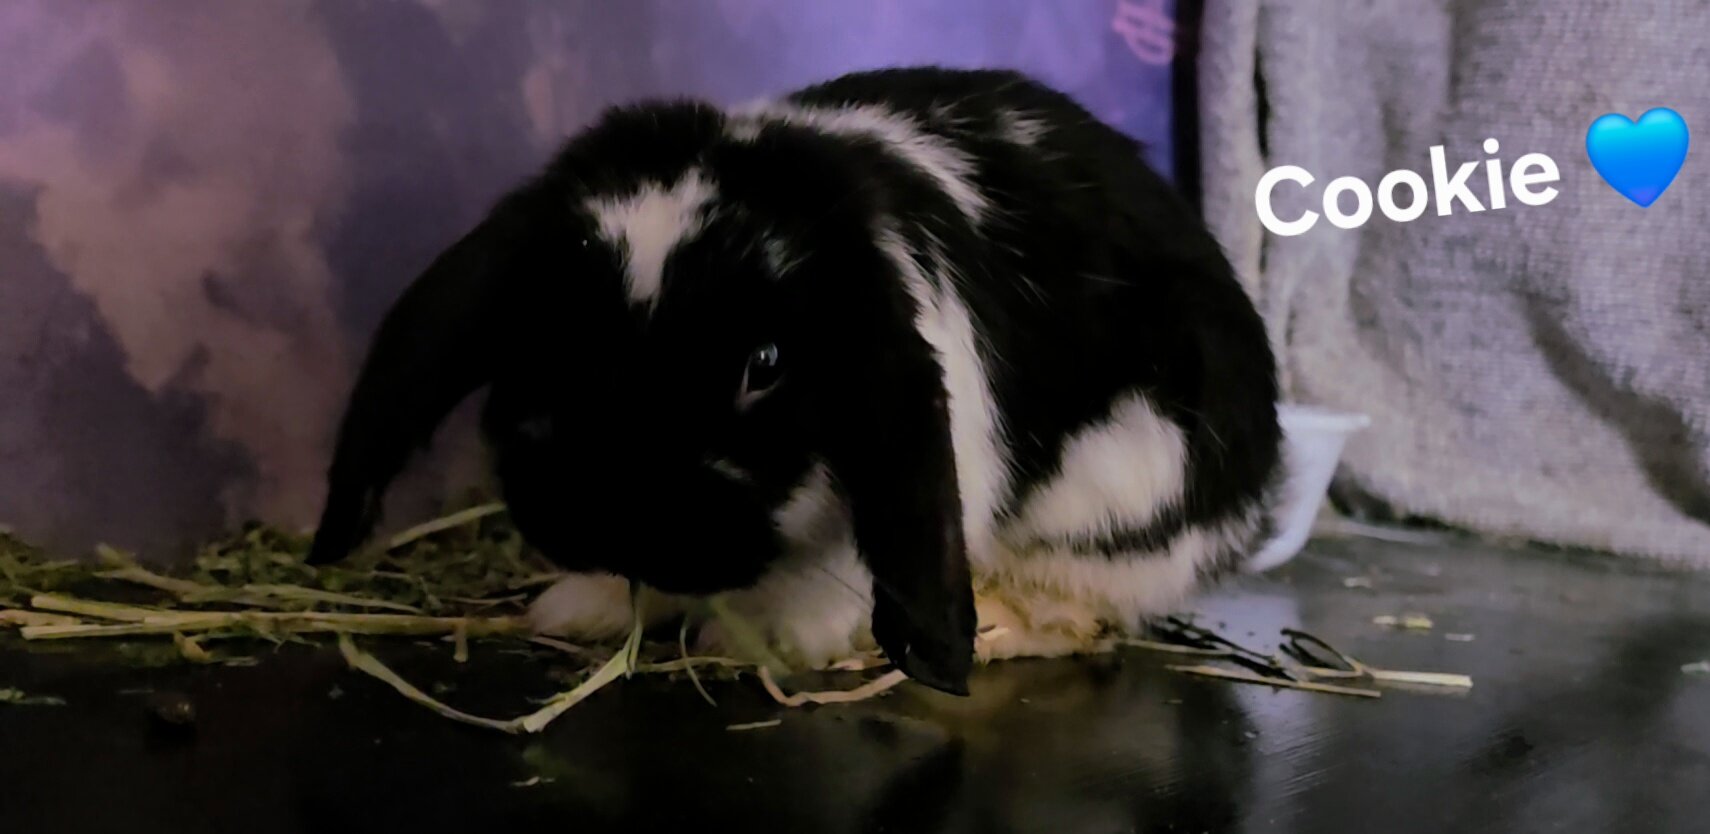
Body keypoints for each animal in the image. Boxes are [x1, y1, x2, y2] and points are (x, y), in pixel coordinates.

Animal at [304, 66, 1283, 696]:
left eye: (765, 364)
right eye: (548, 328)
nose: (616, 514)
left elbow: (838, 573)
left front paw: (766, 644)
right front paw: (579, 608)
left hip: (1121, 495)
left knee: (1092, 609)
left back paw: (998, 628)